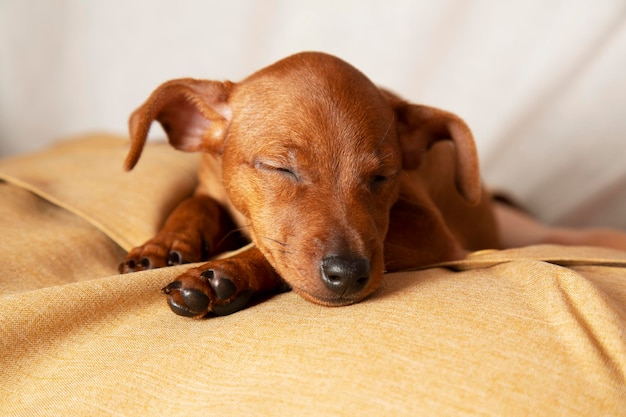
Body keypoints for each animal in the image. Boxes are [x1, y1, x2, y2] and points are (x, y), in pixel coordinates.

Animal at [120, 52, 620, 318]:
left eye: (382, 178)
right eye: (280, 169)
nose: (348, 275)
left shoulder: (429, 230)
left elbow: (272, 252)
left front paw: (231, 272)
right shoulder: (210, 189)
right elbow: (193, 206)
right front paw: (164, 245)